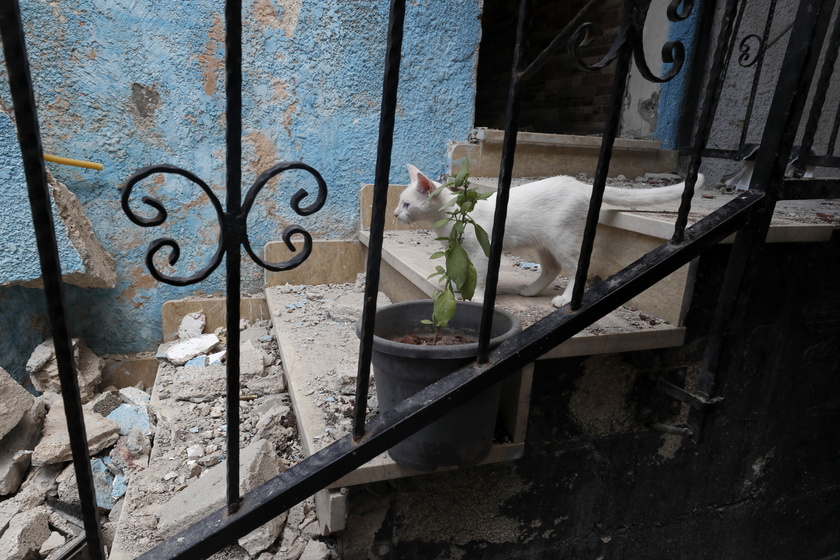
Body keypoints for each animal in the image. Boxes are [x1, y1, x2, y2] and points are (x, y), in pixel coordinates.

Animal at [396, 164, 704, 308]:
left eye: (407, 204)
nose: (396, 214)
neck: (449, 217)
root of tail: (580, 185)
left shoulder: (483, 251)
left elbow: (480, 277)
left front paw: (478, 297)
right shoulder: (457, 249)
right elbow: (459, 270)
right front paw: (460, 288)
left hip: (563, 240)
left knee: (577, 268)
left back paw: (565, 300)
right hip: (545, 244)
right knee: (551, 269)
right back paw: (531, 290)